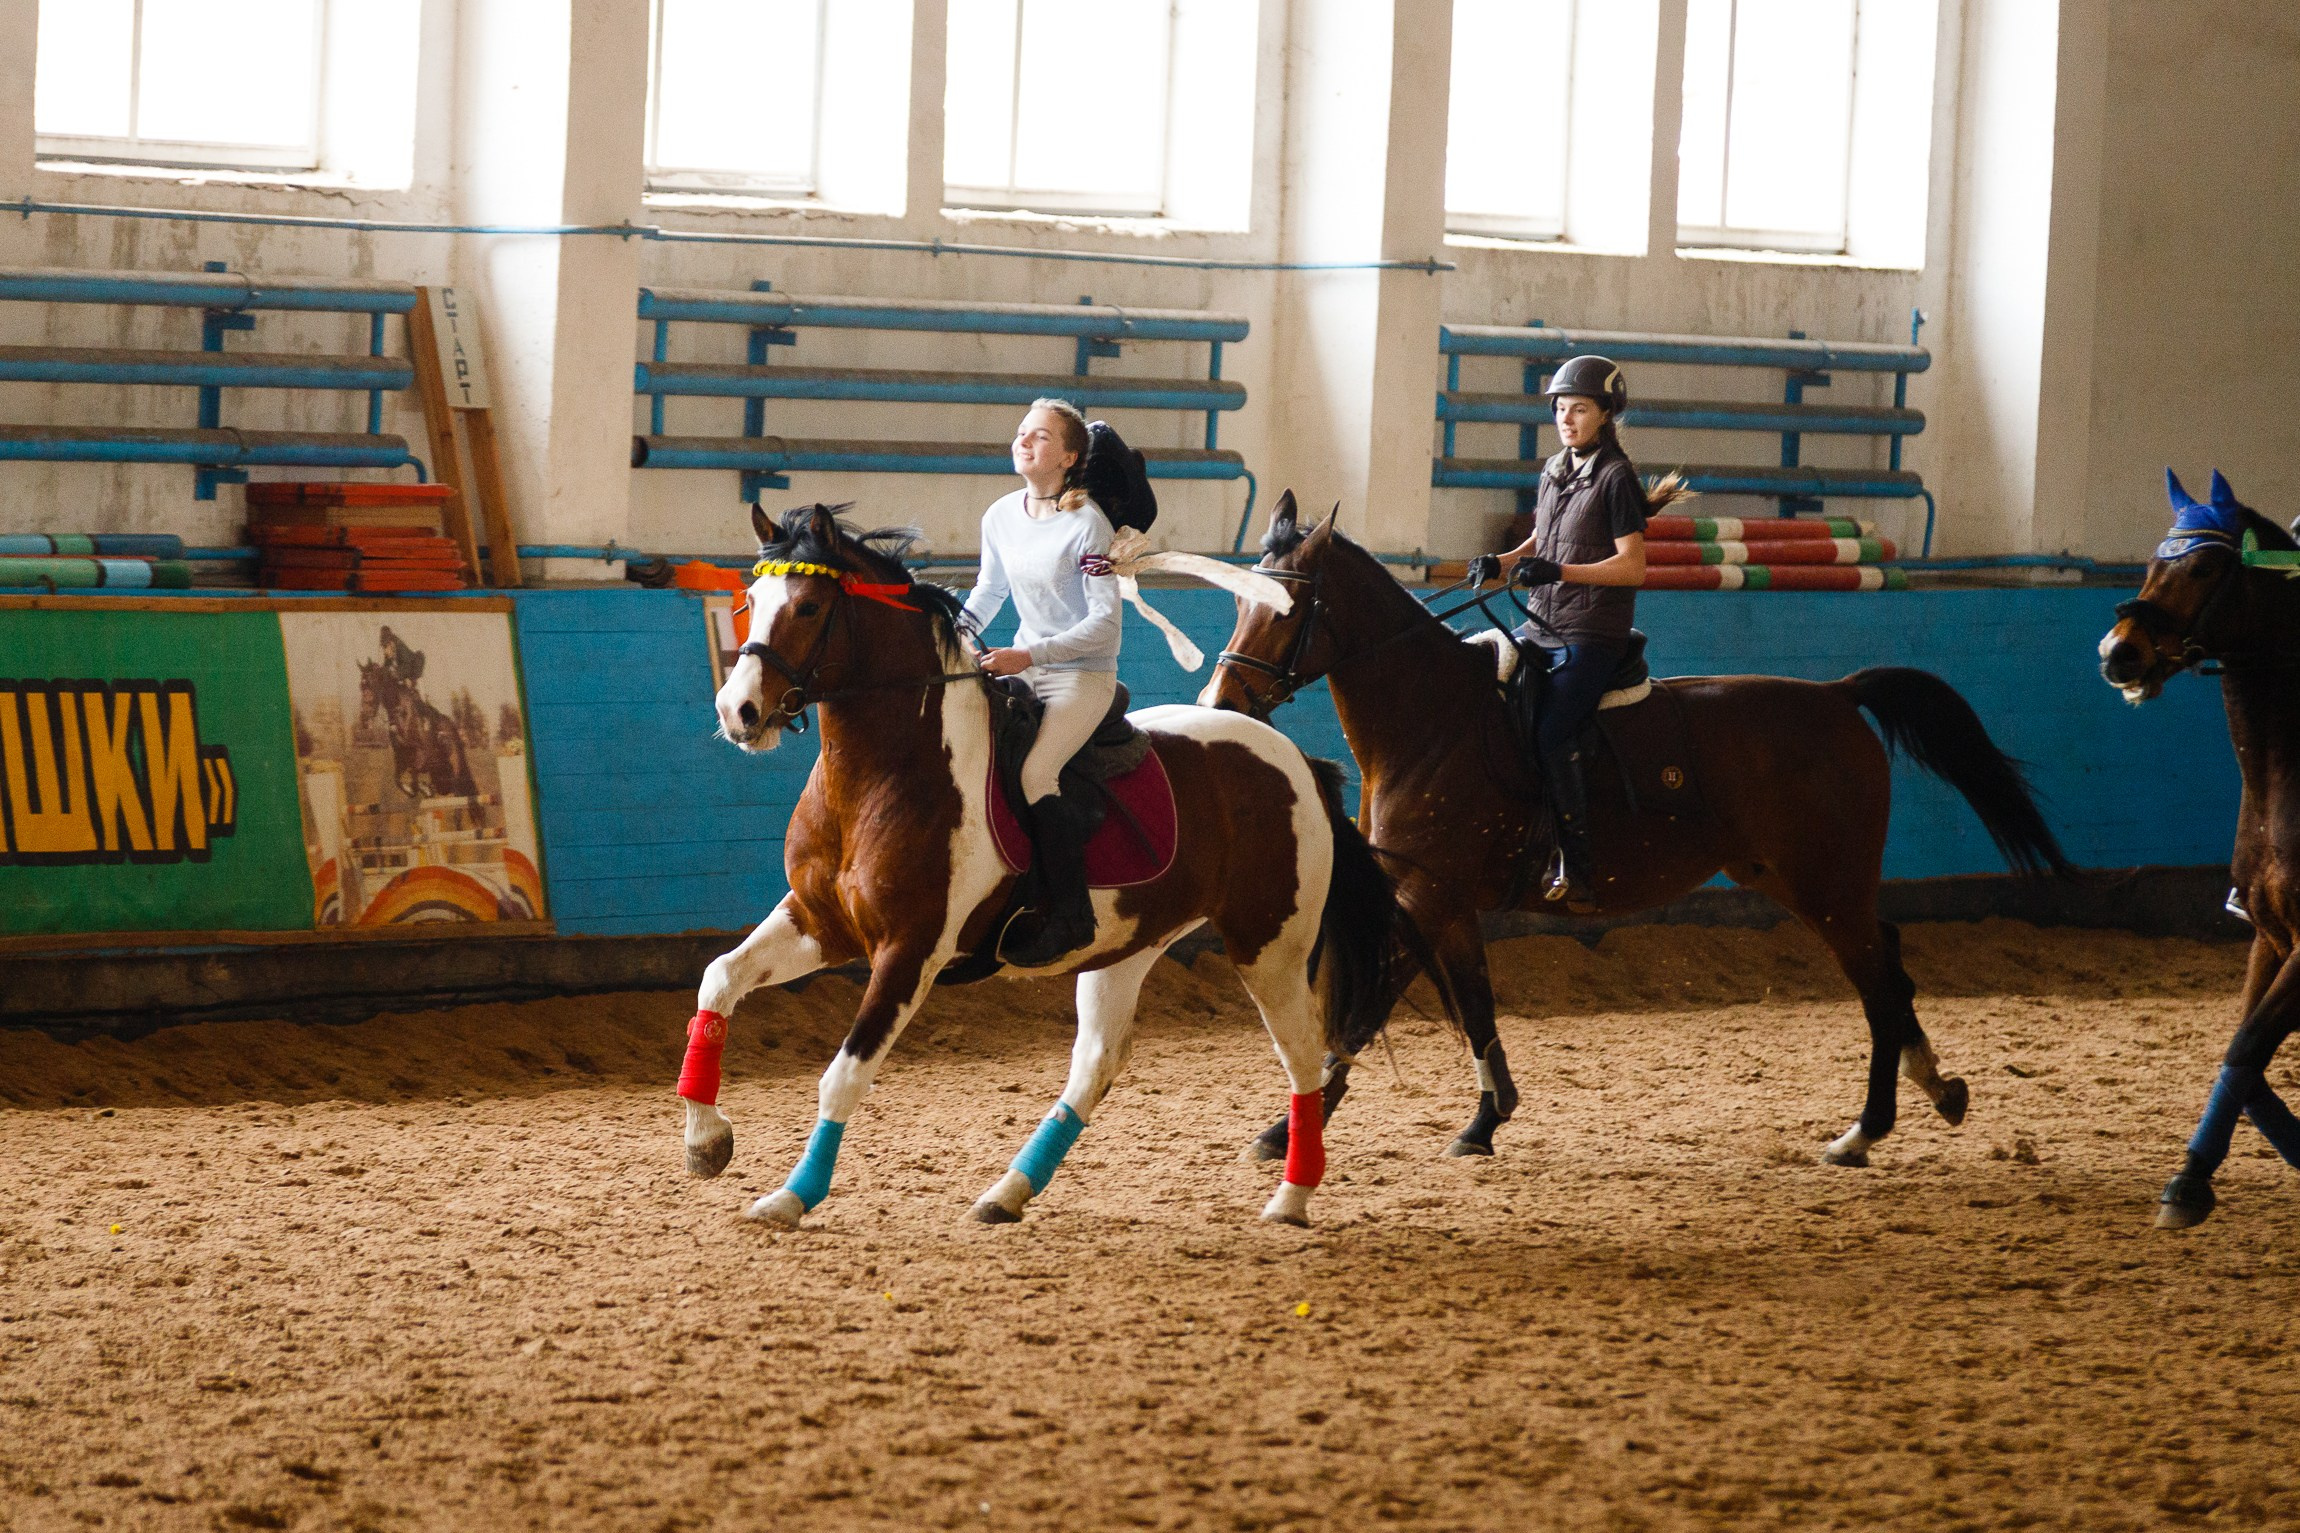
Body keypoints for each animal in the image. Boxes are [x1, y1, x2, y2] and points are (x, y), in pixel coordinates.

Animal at [356, 657, 475, 800]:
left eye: (373, 684)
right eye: (361, 686)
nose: (364, 717)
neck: (401, 714)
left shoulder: (422, 755)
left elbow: (414, 772)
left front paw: (424, 789)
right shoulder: (401, 759)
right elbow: (399, 780)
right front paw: (422, 790)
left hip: (454, 766)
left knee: (456, 786)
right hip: (440, 775)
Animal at [677, 503, 1411, 1229]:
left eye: (806, 608)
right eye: (749, 602)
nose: (738, 712)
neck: (884, 773)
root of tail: (1296, 760)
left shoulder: (909, 950)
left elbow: (843, 1074)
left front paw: (792, 1194)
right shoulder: (818, 922)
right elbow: (718, 979)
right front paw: (707, 1142)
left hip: (1269, 947)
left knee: (1304, 1057)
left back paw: (1291, 1196)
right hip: (1129, 945)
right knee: (1098, 1064)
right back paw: (1007, 1192)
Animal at [1201, 492, 2074, 1170]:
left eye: (1283, 610)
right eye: (1235, 600)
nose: (1223, 702)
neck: (1433, 721)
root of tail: (1838, 694)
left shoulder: (1426, 894)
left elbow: (1362, 1014)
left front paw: (1283, 1130)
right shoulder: (1445, 899)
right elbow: (1476, 1008)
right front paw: (1485, 1121)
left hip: (1827, 884)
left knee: (1881, 985)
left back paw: (1864, 1131)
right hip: (1798, 879)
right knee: (1889, 967)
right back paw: (1940, 1090)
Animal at [2099, 469, 2300, 1229]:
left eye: (2208, 568)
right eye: (2153, 562)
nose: (2118, 652)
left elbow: (2247, 1047)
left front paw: (2188, 1183)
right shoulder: (2269, 936)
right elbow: (2245, 1054)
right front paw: (2192, 1178)